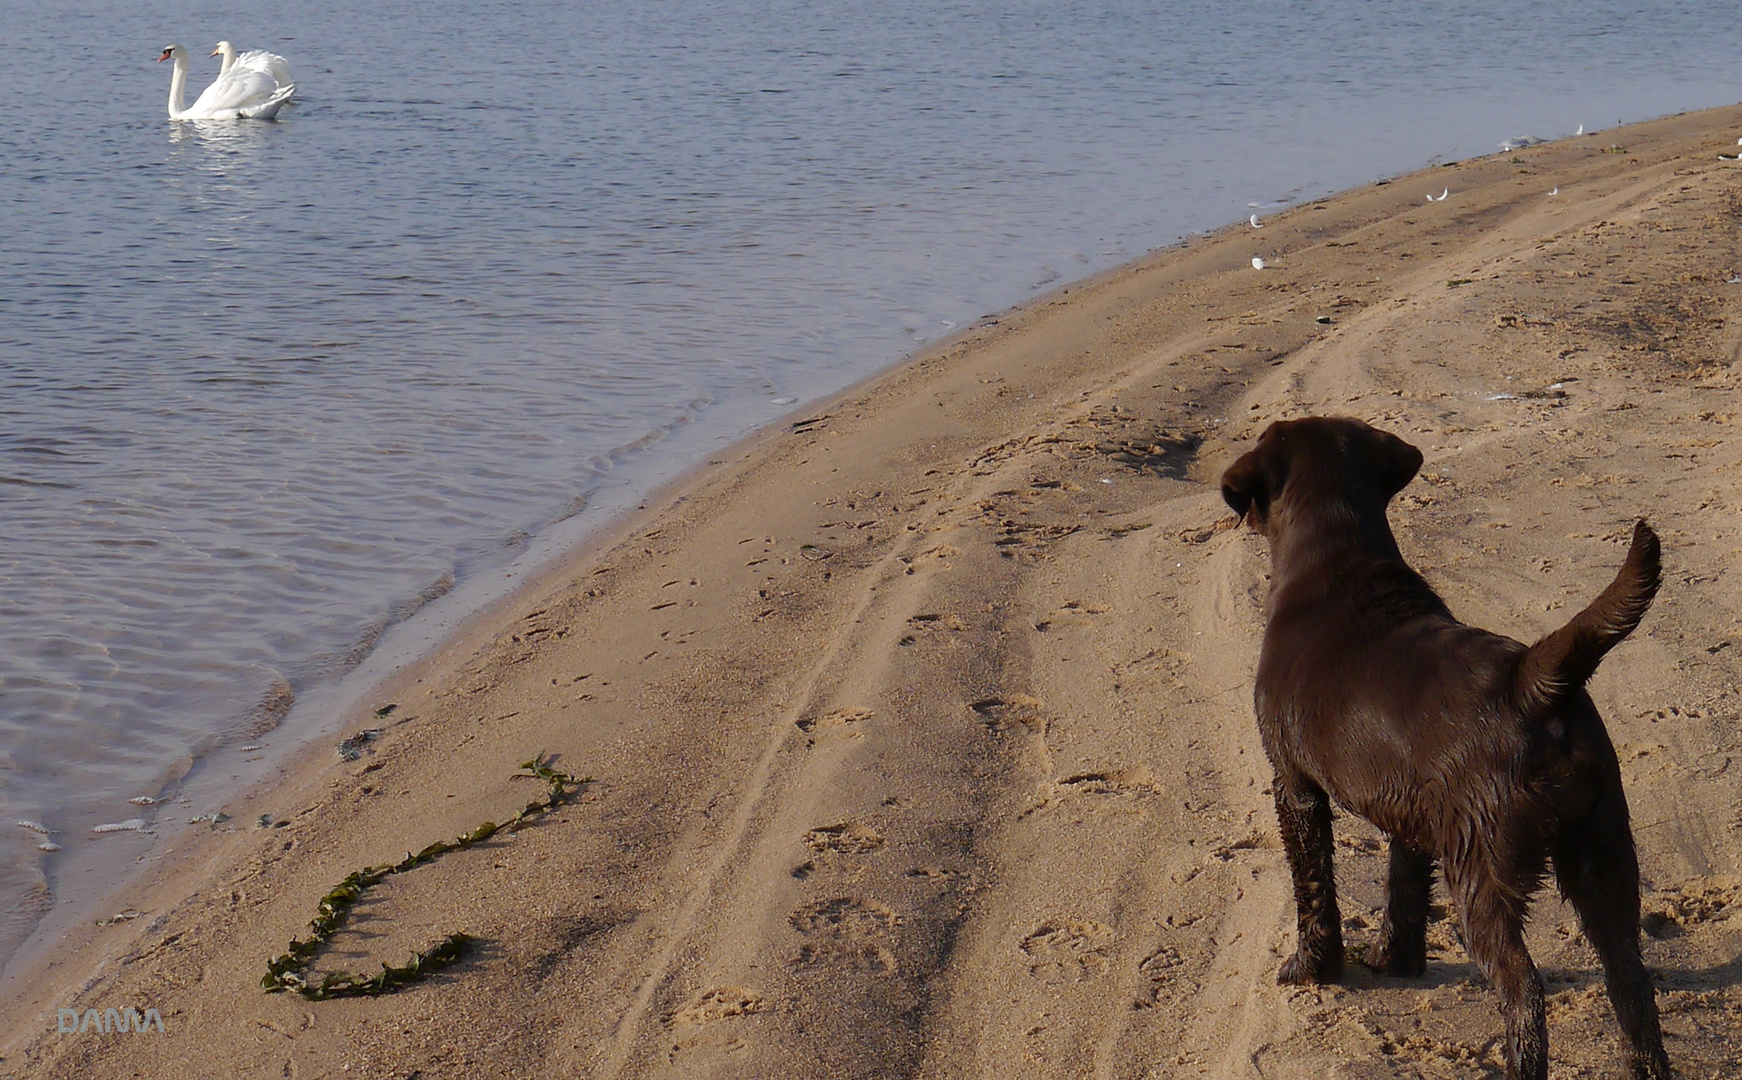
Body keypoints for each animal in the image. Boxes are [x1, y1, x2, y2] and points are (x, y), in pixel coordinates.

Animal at [1219, 418, 1665, 1080]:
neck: (1335, 557)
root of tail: (1530, 682)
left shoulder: (1294, 784)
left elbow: (1314, 885)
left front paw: (1311, 969)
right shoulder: (1413, 808)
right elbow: (1403, 885)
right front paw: (1393, 960)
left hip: (1482, 867)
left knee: (1523, 989)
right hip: (1602, 849)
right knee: (1630, 983)